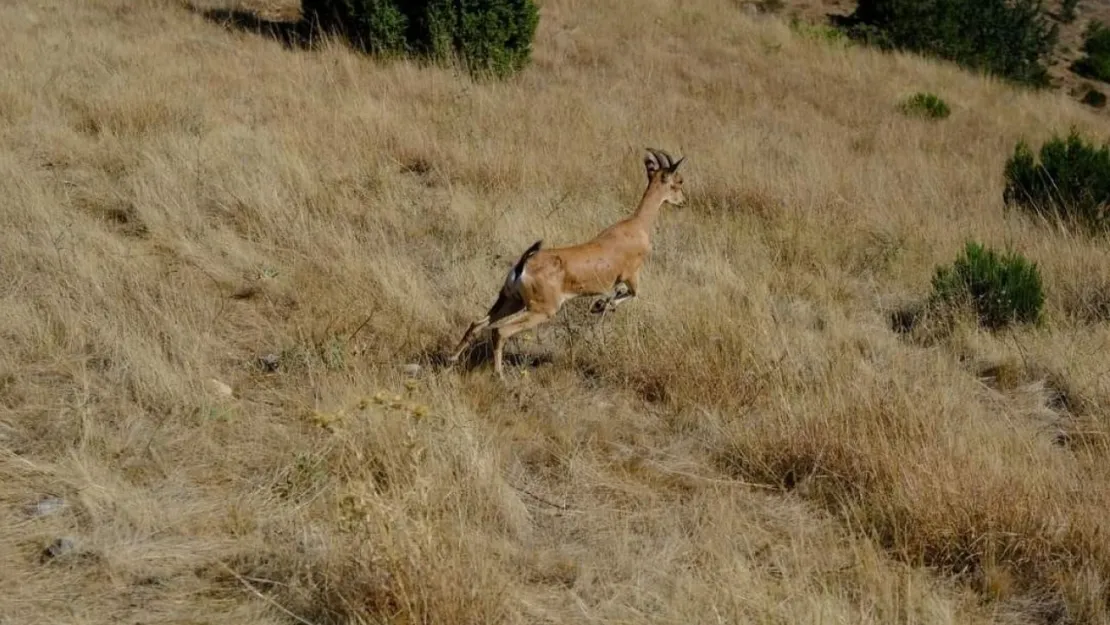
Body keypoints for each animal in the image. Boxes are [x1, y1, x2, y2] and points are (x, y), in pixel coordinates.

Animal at [444, 148, 683, 379]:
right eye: (678, 181)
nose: (683, 201)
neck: (637, 226)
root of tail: (523, 266)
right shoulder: (631, 276)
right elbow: (632, 294)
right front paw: (600, 305)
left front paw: (599, 305)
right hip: (541, 311)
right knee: (500, 331)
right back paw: (499, 376)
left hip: (511, 302)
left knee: (477, 324)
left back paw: (451, 360)